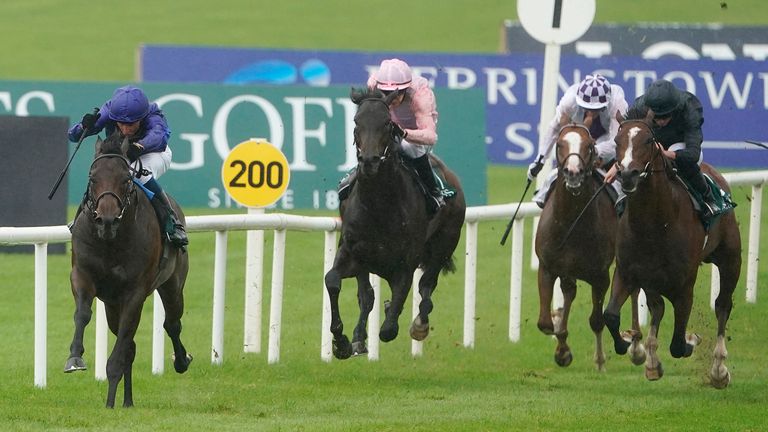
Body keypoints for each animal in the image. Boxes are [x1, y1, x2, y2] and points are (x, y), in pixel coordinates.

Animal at [66, 132, 192, 408]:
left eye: (125, 179)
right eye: (93, 178)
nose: (107, 219)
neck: (111, 241)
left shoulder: (135, 292)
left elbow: (121, 347)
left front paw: (109, 400)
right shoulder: (82, 276)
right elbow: (82, 314)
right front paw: (74, 358)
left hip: (172, 285)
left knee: (172, 324)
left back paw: (181, 361)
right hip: (112, 304)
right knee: (131, 346)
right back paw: (127, 400)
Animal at [324, 87, 468, 358]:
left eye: (387, 123)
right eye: (356, 122)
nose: (369, 161)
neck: (379, 206)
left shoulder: (404, 264)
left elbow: (389, 327)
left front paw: (392, 314)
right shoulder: (352, 252)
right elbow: (334, 282)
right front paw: (342, 341)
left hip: (445, 243)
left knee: (427, 287)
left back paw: (419, 324)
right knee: (367, 295)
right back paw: (359, 337)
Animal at [536, 118, 644, 372]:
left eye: (590, 145)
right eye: (560, 144)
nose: (573, 173)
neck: (571, 222)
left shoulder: (600, 275)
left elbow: (597, 320)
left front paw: (602, 358)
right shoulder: (547, 267)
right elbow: (546, 323)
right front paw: (562, 351)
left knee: (634, 291)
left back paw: (637, 347)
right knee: (569, 292)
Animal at [604, 111, 740, 388]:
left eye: (648, 140)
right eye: (617, 140)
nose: (628, 174)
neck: (654, 223)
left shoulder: (685, 284)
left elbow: (678, 343)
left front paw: (691, 340)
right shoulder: (627, 272)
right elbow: (610, 315)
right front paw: (629, 345)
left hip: (731, 258)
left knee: (722, 304)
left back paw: (719, 370)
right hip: (651, 279)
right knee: (657, 307)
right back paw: (650, 359)